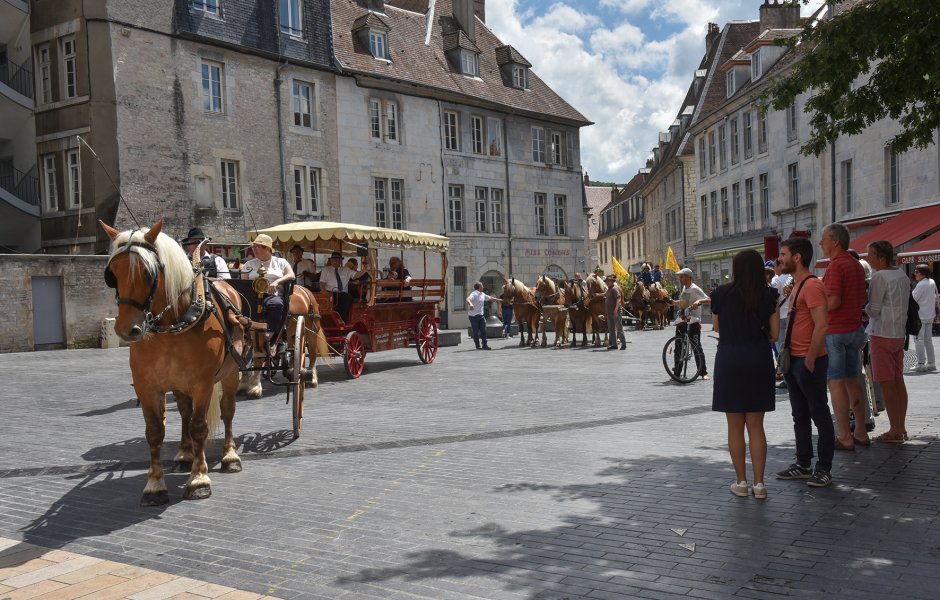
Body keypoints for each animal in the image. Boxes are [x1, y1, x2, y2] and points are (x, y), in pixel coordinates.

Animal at [103, 218, 250, 504]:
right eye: (112, 273)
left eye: (148, 273)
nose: (127, 329)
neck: (174, 325)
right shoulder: (147, 387)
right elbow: (154, 432)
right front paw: (154, 485)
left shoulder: (203, 384)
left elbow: (200, 426)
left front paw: (199, 479)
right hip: (180, 385)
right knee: (184, 413)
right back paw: (185, 454)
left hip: (229, 374)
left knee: (226, 411)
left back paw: (229, 456)